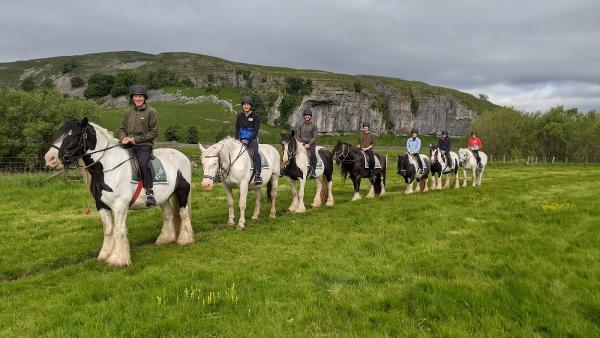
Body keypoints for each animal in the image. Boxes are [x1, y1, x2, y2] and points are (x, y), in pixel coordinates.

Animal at [44, 117, 195, 268]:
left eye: (73, 135)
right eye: (58, 134)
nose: (49, 159)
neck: (107, 168)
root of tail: (183, 156)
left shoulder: (120, 205)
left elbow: (118, 230)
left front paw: (118, 260)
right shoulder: (101, 205)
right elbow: (108, 230)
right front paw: (104, 255)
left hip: (182, 192)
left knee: (183, 214)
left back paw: (185, 240)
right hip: (163, 198)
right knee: (168, 214)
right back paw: (165, 239)